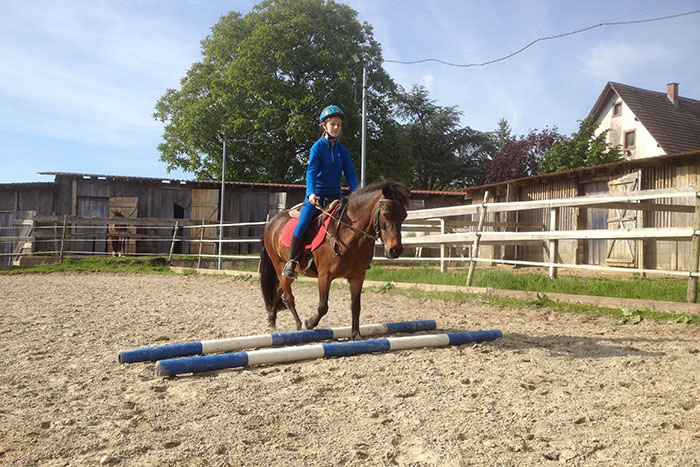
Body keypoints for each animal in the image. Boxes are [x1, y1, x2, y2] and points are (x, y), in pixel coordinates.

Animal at [259, 181, 410, 340]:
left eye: (404, 216)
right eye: (386, 214)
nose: (395, 250)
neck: (350, 235)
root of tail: (271, 223)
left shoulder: (358, 276)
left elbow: (355, 306)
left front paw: (356, 335)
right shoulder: (325, 276)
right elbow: (323, 306)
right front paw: (309, 323)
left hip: (291, 274)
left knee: (277, 290)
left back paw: (272, 322)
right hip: (280, 266)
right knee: (288, 297)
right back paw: (298, 325)